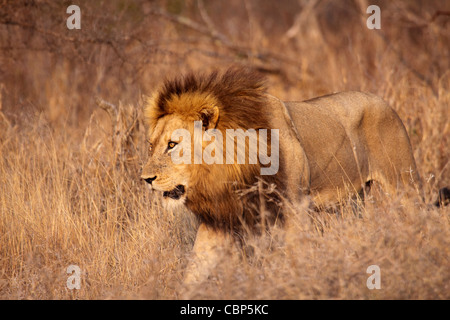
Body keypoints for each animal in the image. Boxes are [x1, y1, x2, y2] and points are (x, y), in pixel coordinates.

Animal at [141, 66, 432, 284]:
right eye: (151, 145)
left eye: (172, 145)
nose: (145, 180)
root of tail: (382, 100)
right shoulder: (220, 220)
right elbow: (195, 270)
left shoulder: (296, 209)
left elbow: (296, 256)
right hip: (354, 200)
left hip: (404, 184)